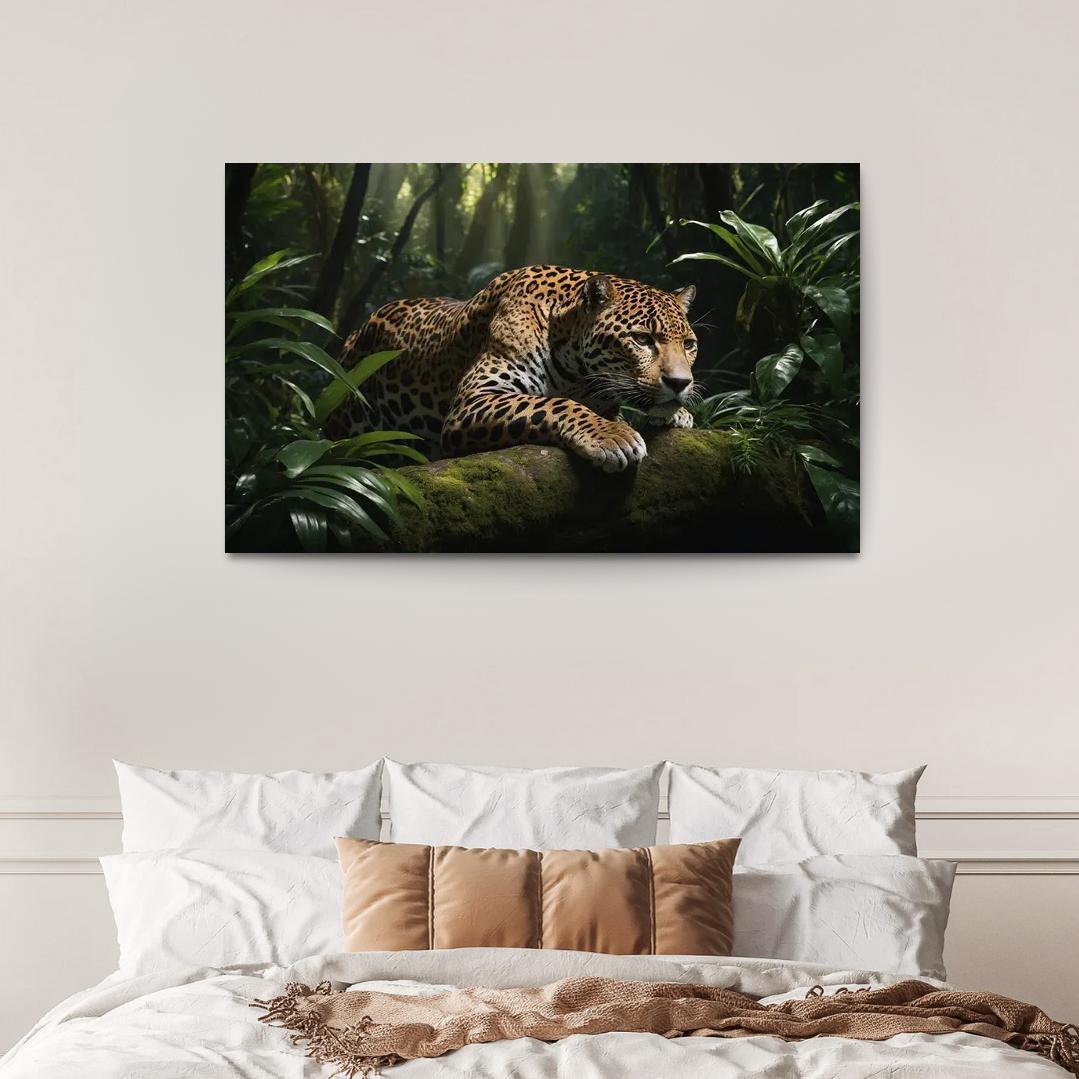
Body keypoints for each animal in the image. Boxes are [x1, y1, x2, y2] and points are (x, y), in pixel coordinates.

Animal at [328, 265, 699, 472]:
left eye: (689, 345)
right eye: (642, 339)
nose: (680, 382)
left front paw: (676, 415)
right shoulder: (475, 399)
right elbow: (554, 403)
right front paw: (612, 436)